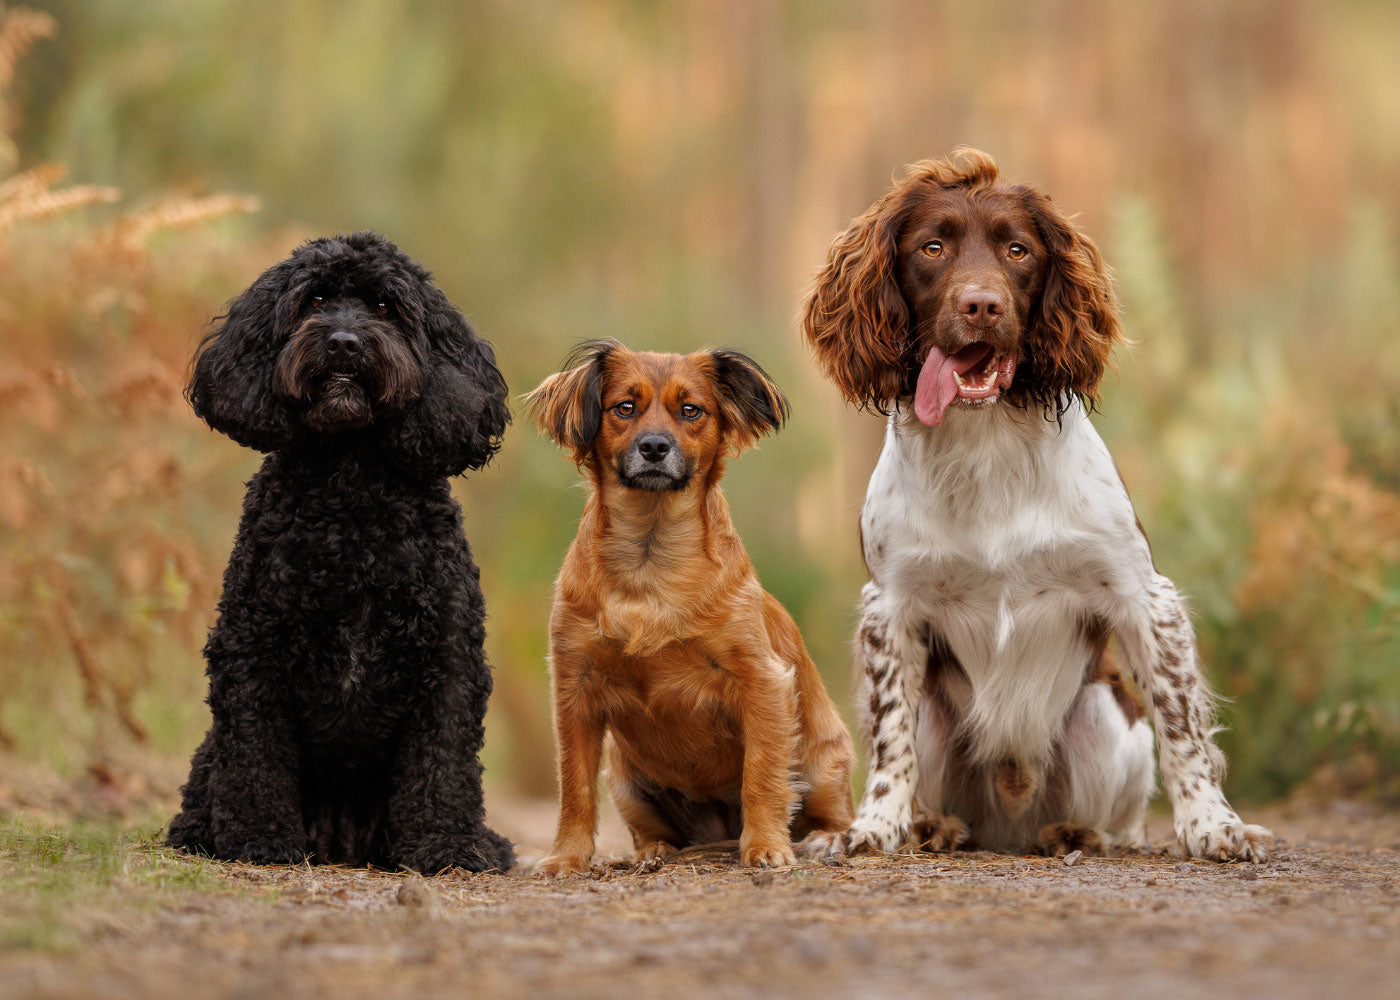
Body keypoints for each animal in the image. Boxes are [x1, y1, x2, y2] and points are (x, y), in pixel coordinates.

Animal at [163, 229, 515, 868]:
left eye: (384, 306)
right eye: (316, 299)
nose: (344, 342)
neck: (351, 494)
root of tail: (342, 845)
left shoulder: (448, 659)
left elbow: (443, 763)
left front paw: (447, 845)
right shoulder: (252, 652)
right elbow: (254, 757)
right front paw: (258, 839)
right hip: (210, 754)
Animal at [526, 338, 851, 868]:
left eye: (691, 410)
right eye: (625, 408)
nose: (655, 447)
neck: (650, 560)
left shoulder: (761, 681)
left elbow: (762, 775)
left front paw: (766, 845)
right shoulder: (575, 688)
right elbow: (574, 787)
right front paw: (566, 859)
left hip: (822, 763)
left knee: (835, 815)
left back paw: (823, 839)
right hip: (626, 779)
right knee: (647, 829)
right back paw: (654, 851)